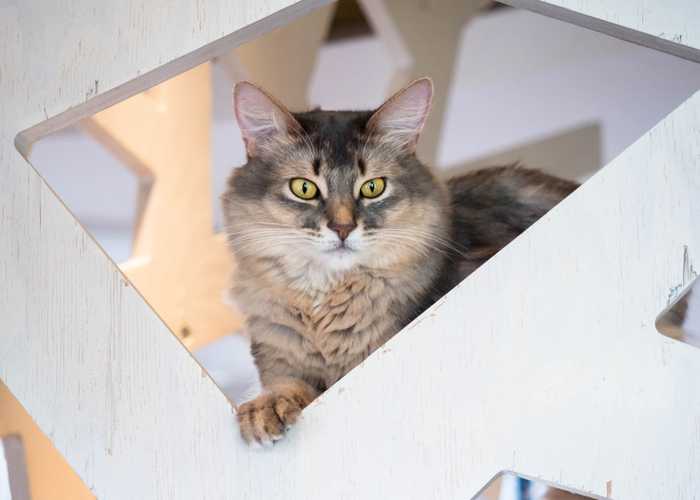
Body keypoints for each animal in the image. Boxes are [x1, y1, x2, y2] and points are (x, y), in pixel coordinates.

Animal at [221, 78, 576, 446]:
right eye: (304, 188)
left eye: (373, 187)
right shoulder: (279, 357)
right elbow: (284, 384)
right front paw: (265, 408)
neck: (327, 303)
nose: (343, 228)